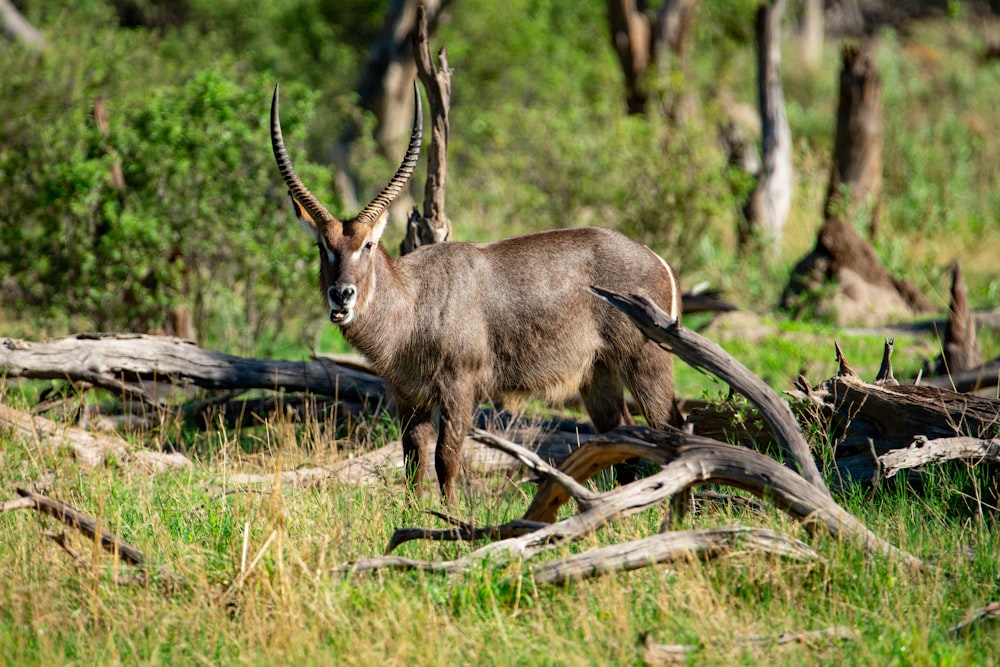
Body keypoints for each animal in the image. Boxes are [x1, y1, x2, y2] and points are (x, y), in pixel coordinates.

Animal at [270, 83, 684, 500]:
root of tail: (656, 258)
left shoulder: (459, 386)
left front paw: (448, 515)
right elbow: (413, 459)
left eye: (368, 244)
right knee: (624, 442)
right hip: (597, 375)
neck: (413, 301)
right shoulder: (407, 394)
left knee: (673, 430)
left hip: (646, 362)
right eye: (323, 246)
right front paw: (413, 510)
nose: (342, 294)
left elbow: (446, 458)